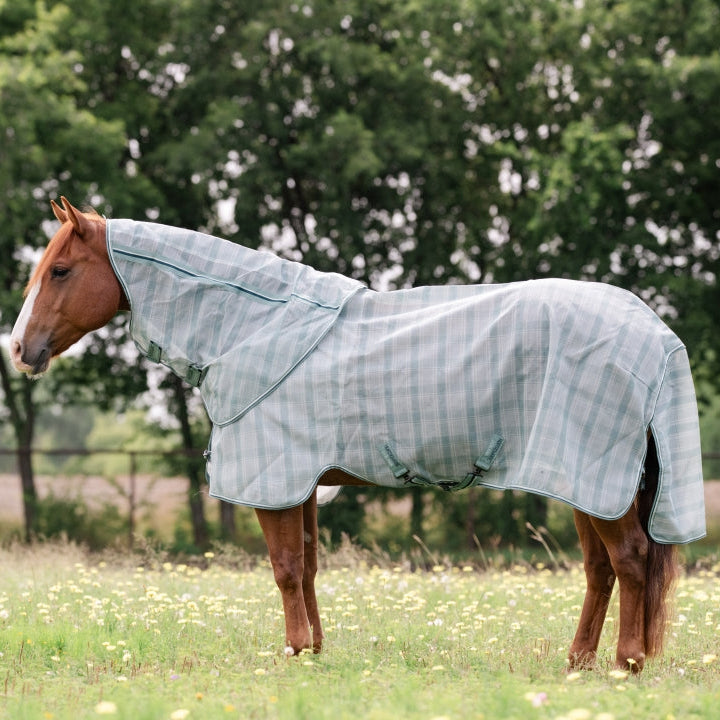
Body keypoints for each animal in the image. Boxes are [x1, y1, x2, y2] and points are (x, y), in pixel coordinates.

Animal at [10, 197, 705, 672]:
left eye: (62, 270)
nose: (19, 349)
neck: (253, 327)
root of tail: (654, 333)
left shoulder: (276, 480)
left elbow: (286, 567)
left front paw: (294, 652)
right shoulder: (303, 484)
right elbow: (309, 565)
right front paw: (314, 651)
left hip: (596, 476)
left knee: (631, 560)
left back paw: (626, 663)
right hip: (584, 479)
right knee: (601, 569)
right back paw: (578, 663)